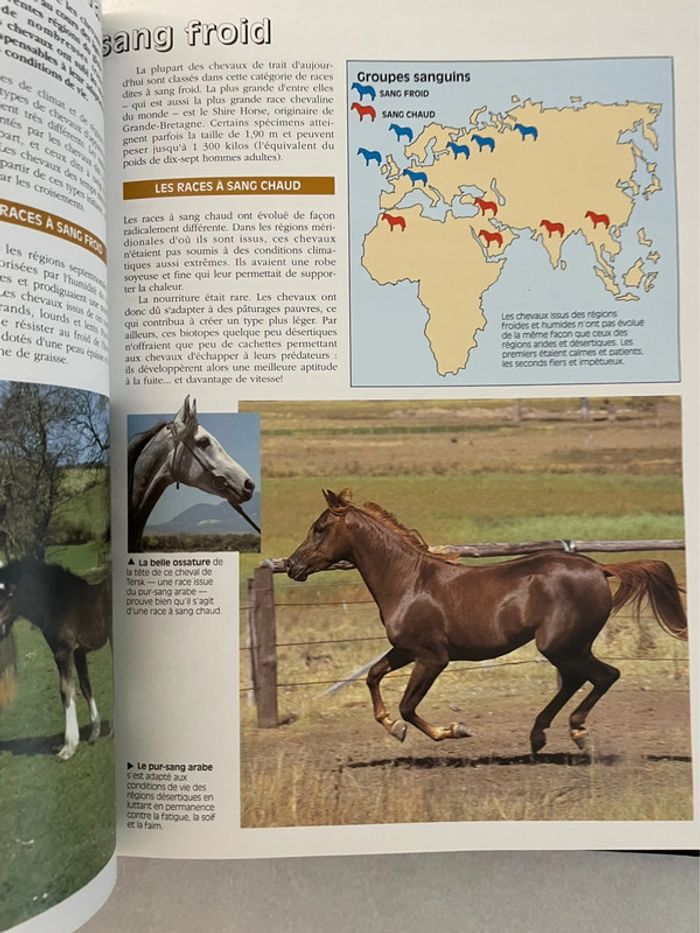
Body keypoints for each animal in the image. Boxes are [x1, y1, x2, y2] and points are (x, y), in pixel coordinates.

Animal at [0, 561, 111, 760]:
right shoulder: (78, 653)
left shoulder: (62, 653)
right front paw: (94, 732)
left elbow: (66, 692)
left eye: (8, 594)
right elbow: (85, 687)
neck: (56, 602)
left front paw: (69, 746)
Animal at [285, 490, 687, 752]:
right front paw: (392, 728)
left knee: (604, 676)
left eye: (320, 527)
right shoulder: (404, 650)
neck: (408, 581)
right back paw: (539, 735)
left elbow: (408, 706)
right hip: (568, 647)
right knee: (577, 680)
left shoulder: (432, 658)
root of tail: (600, 568)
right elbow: (373, 676)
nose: (292, 565)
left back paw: (577, 734)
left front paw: (454, 730)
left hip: (560, 645)